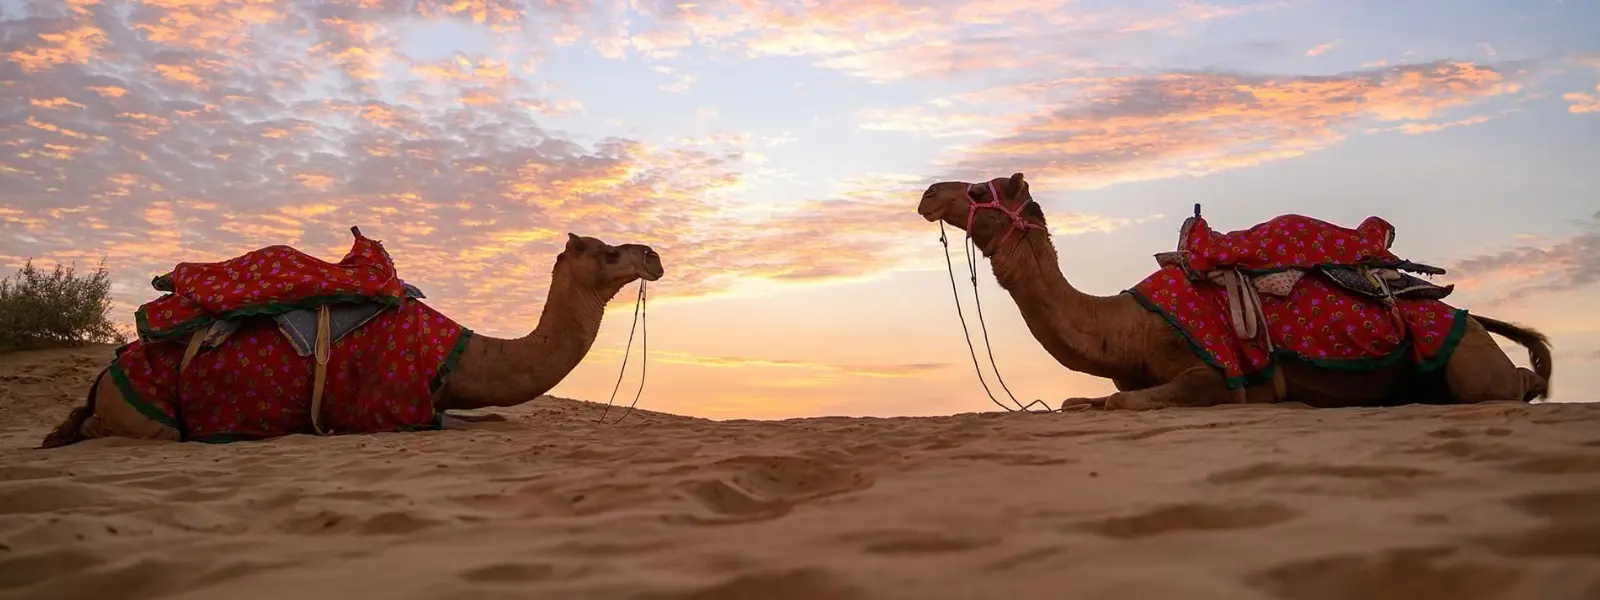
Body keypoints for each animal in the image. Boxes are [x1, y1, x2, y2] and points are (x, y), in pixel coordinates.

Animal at [40, 232, 662, 447]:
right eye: (610, 252)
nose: (654, 255)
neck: (457, 356)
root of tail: (102, 380)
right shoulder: (392, 408)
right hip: (147, 417)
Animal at [916, 172, 1552, 411]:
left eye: (979, 189)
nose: (927, 193)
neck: (1125, 327)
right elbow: (1083, 402)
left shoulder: (1213, 372)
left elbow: (1130, 402)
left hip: (1468, 361)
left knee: (1508, 385)